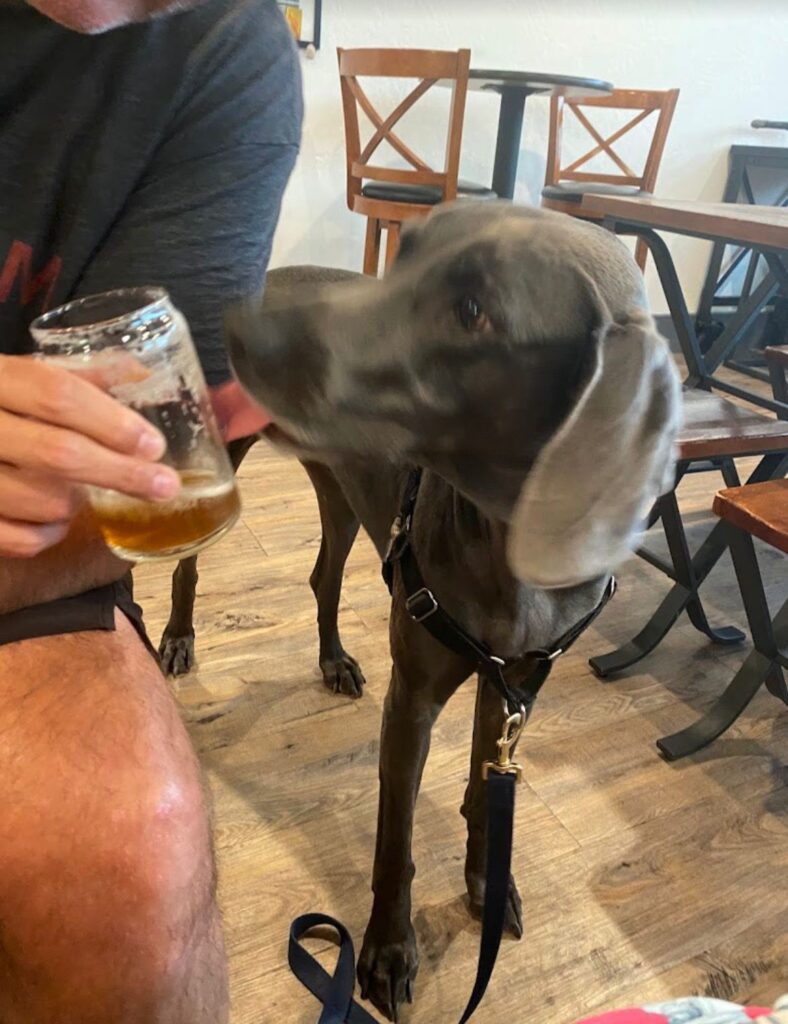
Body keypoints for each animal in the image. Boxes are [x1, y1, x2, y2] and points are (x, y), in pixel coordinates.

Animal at [165, 201, 681, 1020]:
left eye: (473, 311)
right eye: (403, 257)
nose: (241, 327)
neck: (507, 542)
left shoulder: (514, 684)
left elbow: (484, 789)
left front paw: (488, 885)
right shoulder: (413, 698)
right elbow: (395, 845)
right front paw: (385, 952)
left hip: (343, 493)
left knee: (323, 578)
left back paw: (333, 660)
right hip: (229, 451)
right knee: (189, 559)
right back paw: (178, 638)